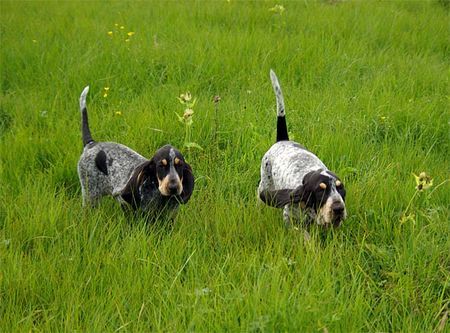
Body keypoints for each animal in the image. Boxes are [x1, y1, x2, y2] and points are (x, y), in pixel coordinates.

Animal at [77, 85, 193, 218]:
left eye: (180, 165)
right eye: (161, 166)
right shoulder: (124, 201)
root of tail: (91, 144)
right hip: (90, 195)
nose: (173, 187)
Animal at [256, 71, 348, 227]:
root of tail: (283, 140)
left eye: (340, 188)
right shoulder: (288, 215)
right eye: (320, 191)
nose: (339, 208)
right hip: (265, 183)